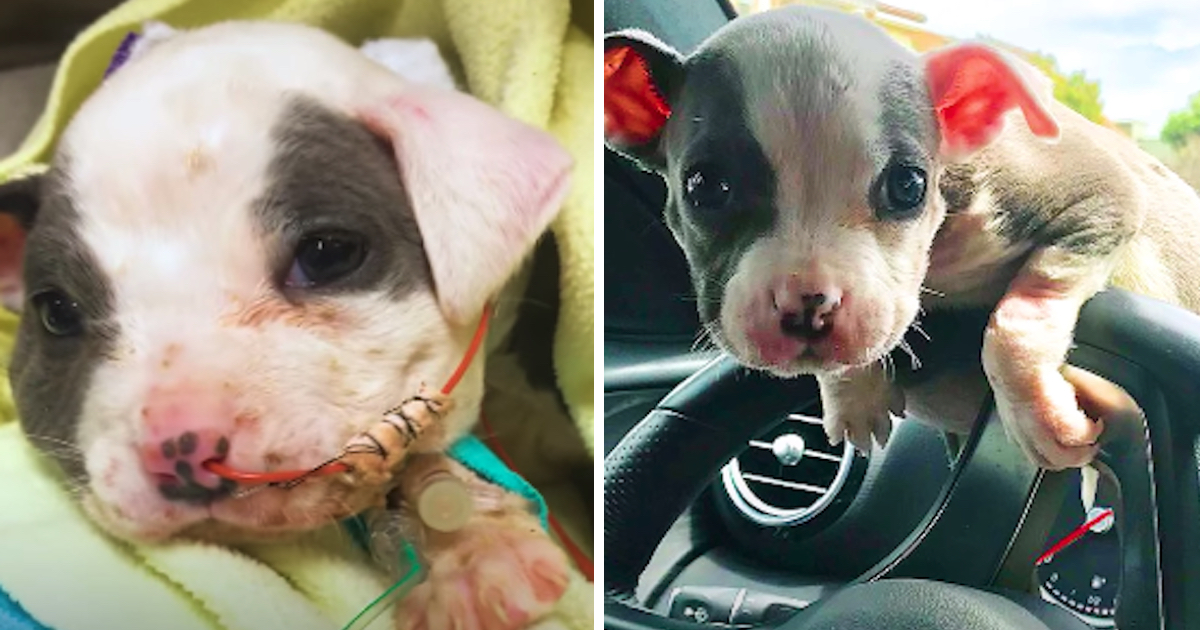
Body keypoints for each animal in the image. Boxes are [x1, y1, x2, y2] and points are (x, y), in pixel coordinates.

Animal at [600, 4, 1200, 465]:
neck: (941, 254)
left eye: (908, 185)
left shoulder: (1101, 197)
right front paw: (852, 393)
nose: (807, 305)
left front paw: (1043, 421)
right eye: (705, 187)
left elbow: (1015, 322)